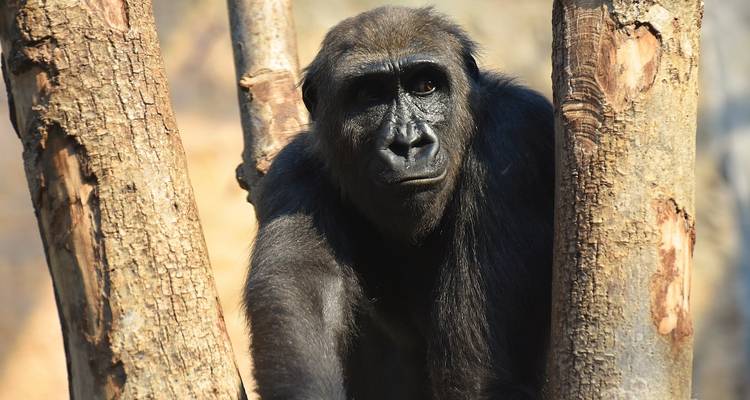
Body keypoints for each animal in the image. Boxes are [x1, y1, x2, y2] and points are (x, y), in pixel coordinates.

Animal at [244, 6, 554, 400]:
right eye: (369, 94)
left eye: (424, 86)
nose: (407, 143)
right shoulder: (293, 175)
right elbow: (300, 303)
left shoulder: (513, 136)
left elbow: (480, 375)